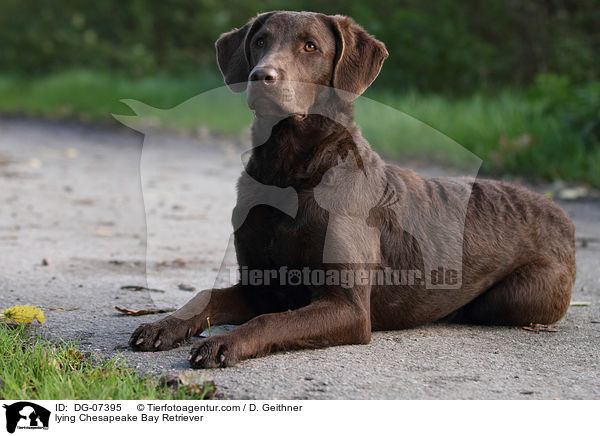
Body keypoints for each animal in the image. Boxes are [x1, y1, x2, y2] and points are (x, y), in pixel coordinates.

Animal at [129, 11, 576, 368]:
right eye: (259, 42)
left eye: (310, 46)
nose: (261, 77)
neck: (292, 175)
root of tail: (557, 211)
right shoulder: (260, 286)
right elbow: (206, 295)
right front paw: (164, 324)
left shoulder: (347, 307)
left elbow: (271, 320)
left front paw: (225, 342)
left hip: (518, 297)